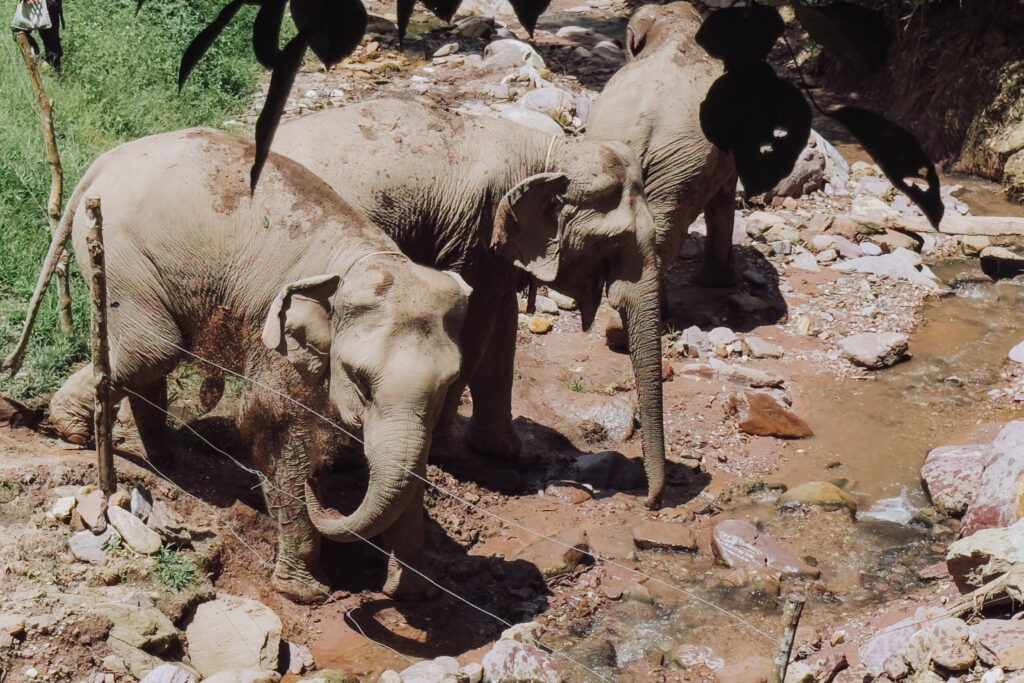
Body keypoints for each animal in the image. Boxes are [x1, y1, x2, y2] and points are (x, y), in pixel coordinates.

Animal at [21, 129, 471, 603]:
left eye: (450, 384)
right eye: (360, 381)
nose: (324, 492)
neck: (361, 258)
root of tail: (105, 161)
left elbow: (415, 459)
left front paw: (415, 592)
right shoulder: (275, 338)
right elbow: (272, 425)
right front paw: (308, 592)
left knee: (149, 356)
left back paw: (163, 457)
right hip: (122, 255)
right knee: (153, 349)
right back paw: (74, 431)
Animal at [275, 98, 671, 508]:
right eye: (615, 243)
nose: (649, 501)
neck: (552, 152)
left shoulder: (497, 246)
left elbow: (502, 325)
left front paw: (508, 453)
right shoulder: (475, 232)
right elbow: (473, 332)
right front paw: (447, 452)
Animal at [586, 1, 738, 290]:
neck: (675, 28)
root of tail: (639, 131)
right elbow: (724, 194)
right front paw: (718, 285)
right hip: (681, 168)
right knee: (663, 239)